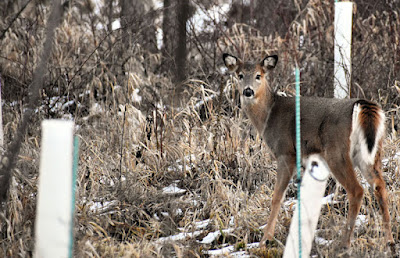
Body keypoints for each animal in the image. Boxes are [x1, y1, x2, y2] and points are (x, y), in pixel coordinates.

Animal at [223, 53, 396, 250]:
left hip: (336, 152)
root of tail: (362, 106)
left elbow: (277, 197)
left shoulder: (286, 152)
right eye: (240, 75)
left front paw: (265, 239)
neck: (269, 115)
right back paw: (389, 240)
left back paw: (344, 243)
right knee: (379, 185)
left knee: (357, 190)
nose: (248, 91)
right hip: (370, 153)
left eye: (259, 75)